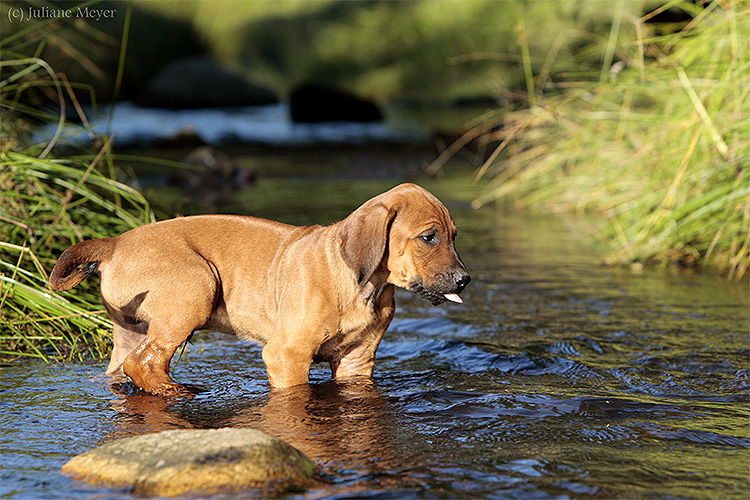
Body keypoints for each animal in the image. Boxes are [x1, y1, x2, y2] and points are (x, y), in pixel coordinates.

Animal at [48, 184, 470, 394]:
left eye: (454, 235)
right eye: (428, 237)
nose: (464, 280)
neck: (362, 285)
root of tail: (115, 242)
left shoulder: (357, 361)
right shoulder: (287, 355)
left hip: (129, 330)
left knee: (125, 366)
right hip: (196, 289)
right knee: (145, 362)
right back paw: (175, 392)